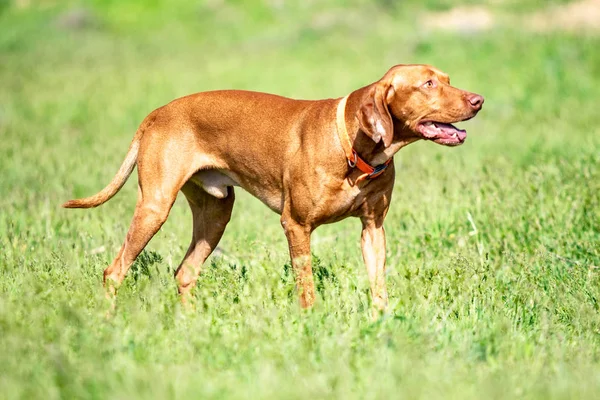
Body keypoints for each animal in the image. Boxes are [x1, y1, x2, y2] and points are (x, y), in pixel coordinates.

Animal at [62, 64, 482, 310]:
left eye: (447, 80)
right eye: (428, 83)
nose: (478, 99)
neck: (352, 146)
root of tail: (155, 114)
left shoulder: (373, 229)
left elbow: (378, 286)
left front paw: (382, 325)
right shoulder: (295, 225)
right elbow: (306, 287)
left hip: (216, 215)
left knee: (184, 273)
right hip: (155, 207)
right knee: (114, 271)